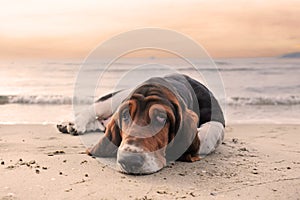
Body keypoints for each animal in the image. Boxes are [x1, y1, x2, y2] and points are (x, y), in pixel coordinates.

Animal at [57, 74, 224, 174]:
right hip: (117, 98)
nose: (129, 160)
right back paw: (73, 124)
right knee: (92, 109)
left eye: (161, 117)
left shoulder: (216, 118)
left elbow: (207, 135)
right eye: (125, 115)